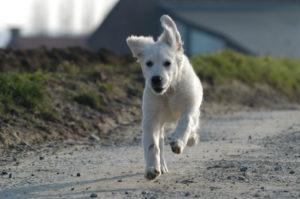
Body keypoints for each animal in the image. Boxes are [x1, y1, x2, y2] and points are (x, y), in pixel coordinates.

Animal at [125, 14, 203, 180]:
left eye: (167, 63)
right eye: (149, 63)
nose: (156, 79)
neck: (169, 92)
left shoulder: (190, 106)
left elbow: (186, 122)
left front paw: (179, 142)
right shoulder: (151, 119)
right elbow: (152, 144)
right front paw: (151, 169)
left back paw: (190, 139)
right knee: (160, 142)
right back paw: (162, 166)